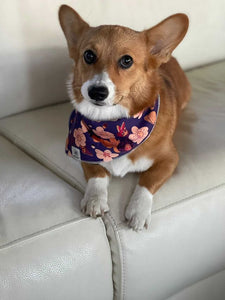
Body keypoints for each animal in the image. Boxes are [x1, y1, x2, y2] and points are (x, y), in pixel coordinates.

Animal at [58, 4, 190, 231]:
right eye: (89, 55)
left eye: (126, 60)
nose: (97, 92)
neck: (111, 125)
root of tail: (169, 58)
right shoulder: (85, 155)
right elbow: (97, 175)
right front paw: (95, 200)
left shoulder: (170, 159)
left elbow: (147, 180)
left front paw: (138, 211)